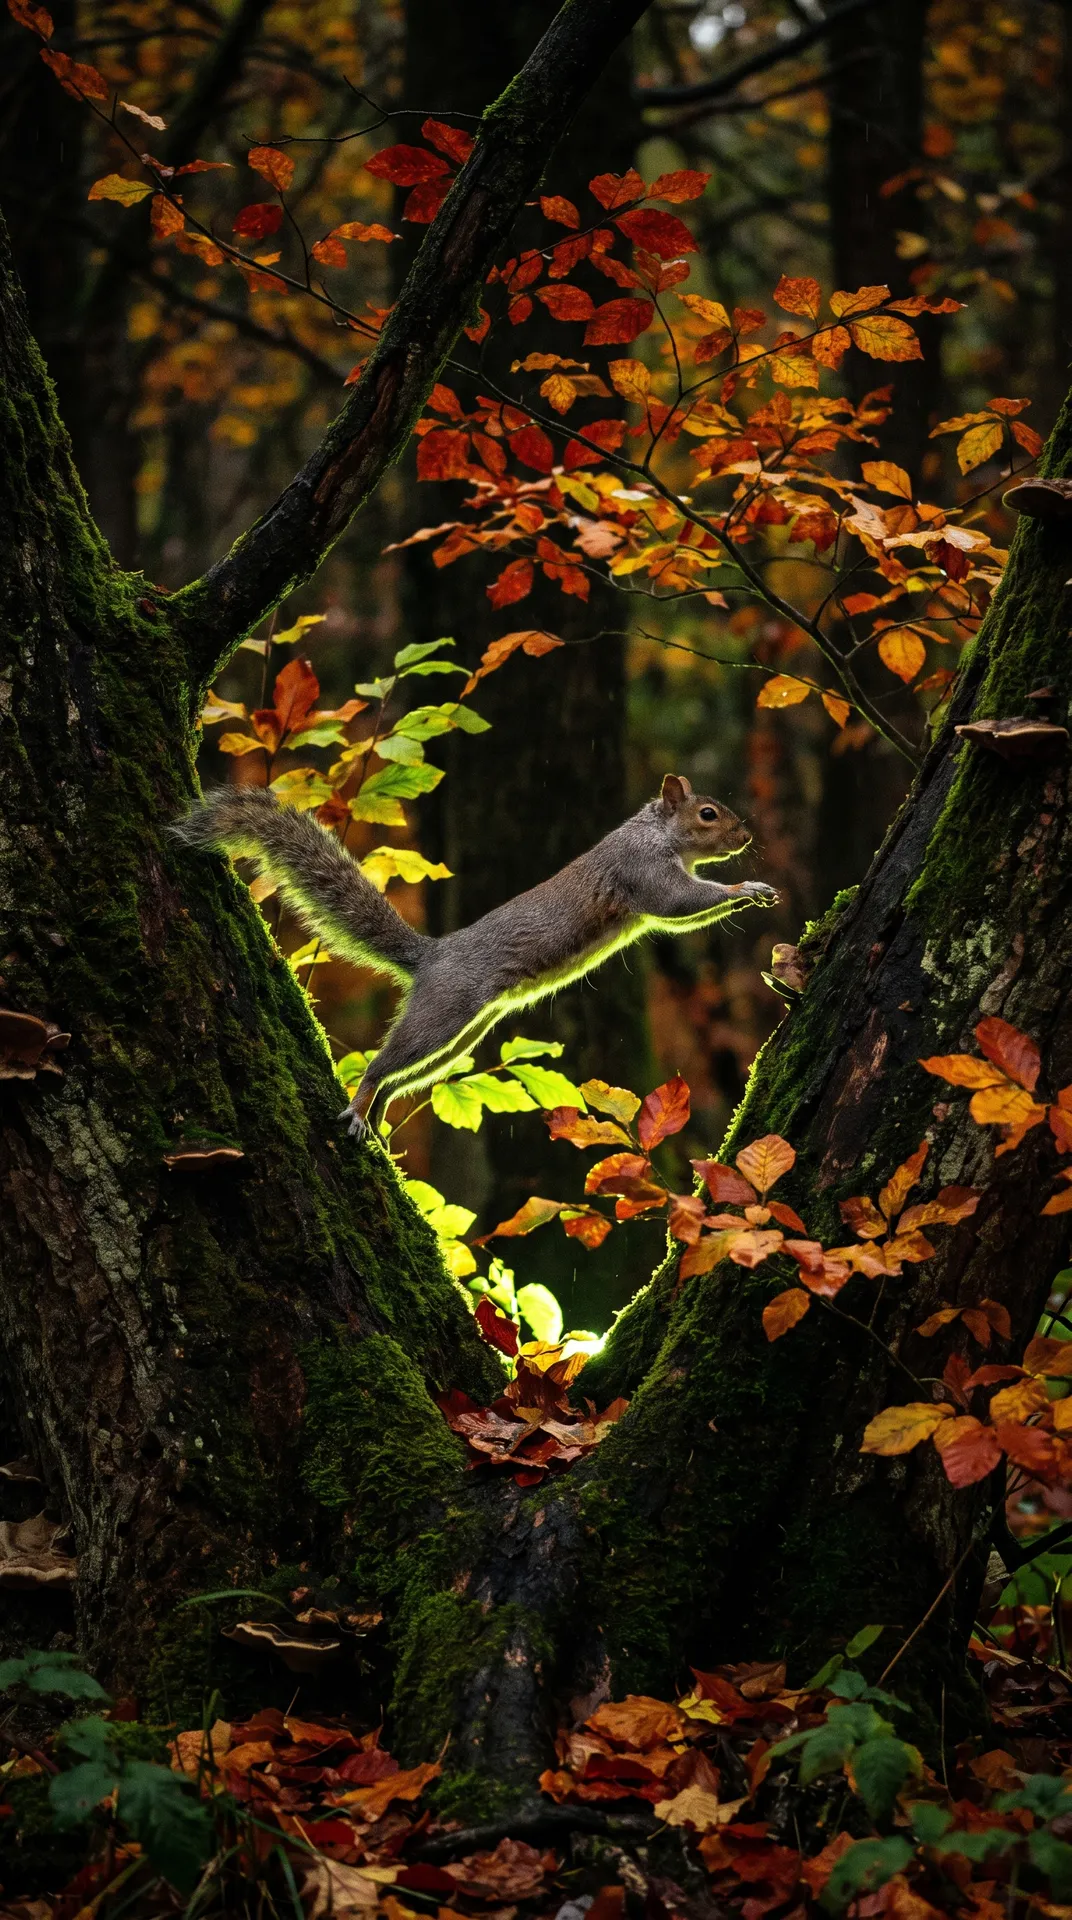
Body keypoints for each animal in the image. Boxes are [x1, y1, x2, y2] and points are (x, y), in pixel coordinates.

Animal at [178, 775, 777, 1138]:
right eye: (707, 813)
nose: (747, 836)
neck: (656, 834)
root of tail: (431, 956)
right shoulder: (643, 872)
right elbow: (679, 904)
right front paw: (746, 888)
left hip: (462, 1033)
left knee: (403, 1076)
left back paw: (380, 1112)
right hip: (444, 1012)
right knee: (383, 1064)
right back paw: (363, 1101)